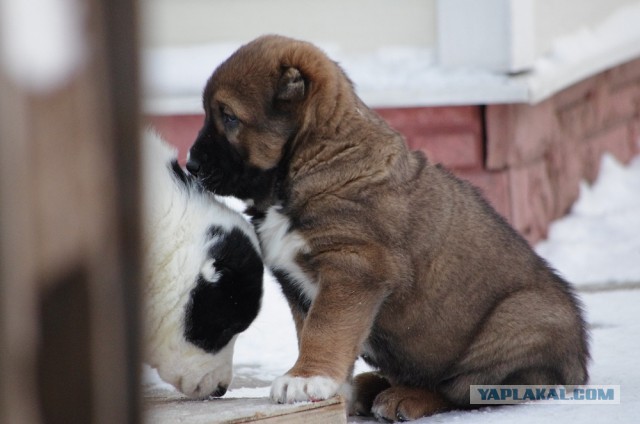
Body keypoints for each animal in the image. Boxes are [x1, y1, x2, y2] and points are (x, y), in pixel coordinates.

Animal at [186, 34, 592, 420]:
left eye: (229, 117)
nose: (190, 164)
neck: (314, 156)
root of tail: (578, 370)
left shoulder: (352, 267)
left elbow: (324, 328)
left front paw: (306, 378)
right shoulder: (298, 284)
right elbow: (312, 331)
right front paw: (329, 387)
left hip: (517, 322)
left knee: (460, 389)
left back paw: (403, 397)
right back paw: (368, 387)